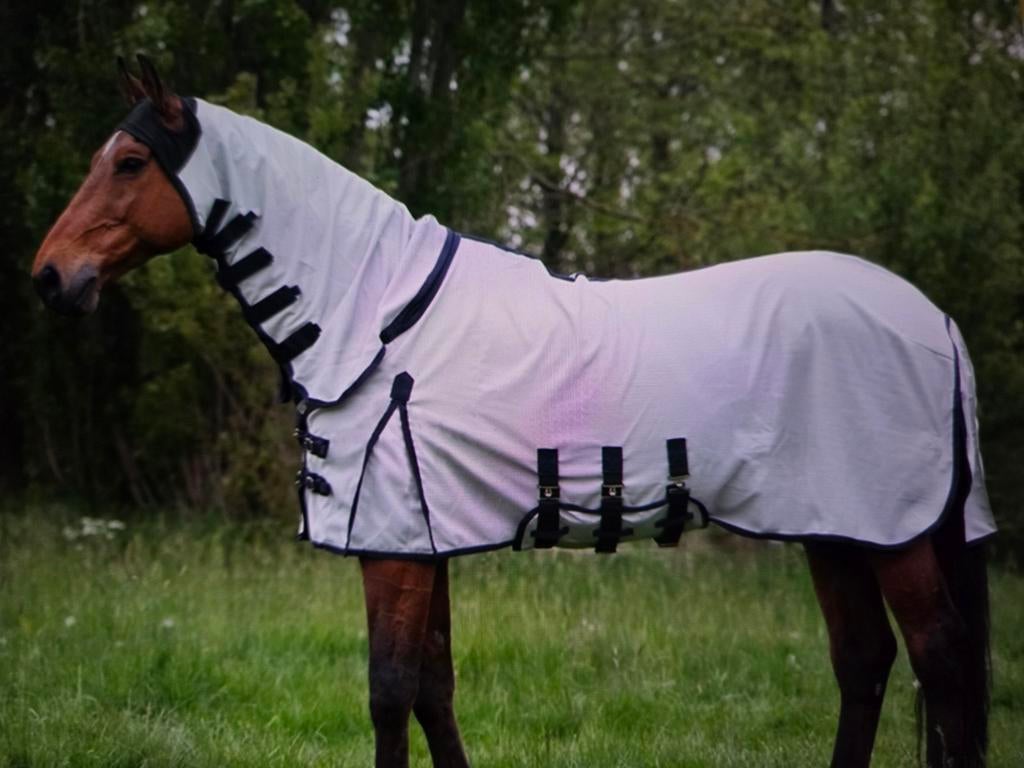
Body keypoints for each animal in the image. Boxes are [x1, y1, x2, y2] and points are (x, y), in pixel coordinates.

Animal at [32, 56, 994, 768]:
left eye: (128, 163)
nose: (50, 276)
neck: (374, 313)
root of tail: (934, 319)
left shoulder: (392, 546)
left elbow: (389, 692)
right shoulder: (420, 541)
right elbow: (432, 686)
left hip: (891, 531)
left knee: (942, 661)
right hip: (835, 529)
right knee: (865, 663)